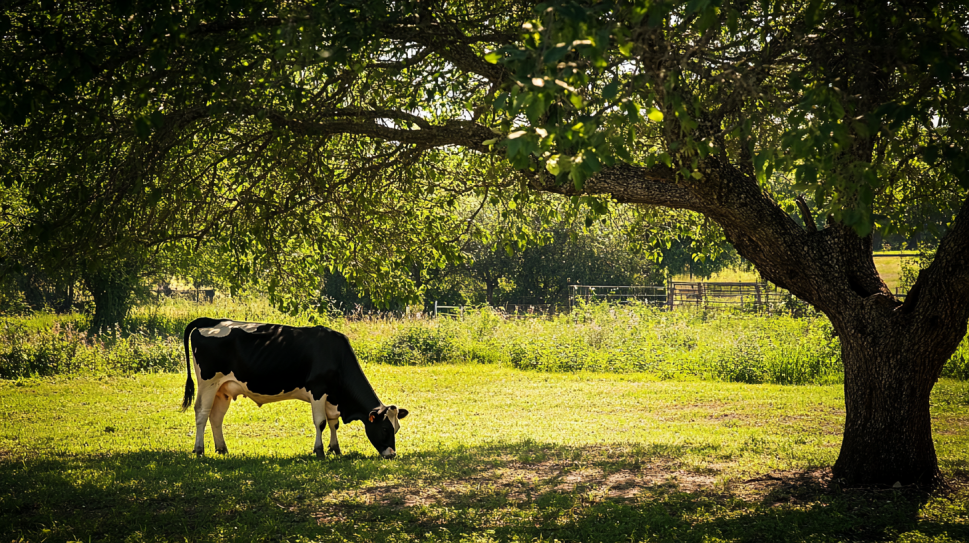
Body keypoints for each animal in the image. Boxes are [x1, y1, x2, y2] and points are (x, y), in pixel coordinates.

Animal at [182, 316, 408, 462]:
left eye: (396, 428)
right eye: (385, 429)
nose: (392, 454)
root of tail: (210, 321)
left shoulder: (332, 397)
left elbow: (333, 424)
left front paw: (335, 449)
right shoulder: (318, 390)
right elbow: (321, 422)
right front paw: (319, 451)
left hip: (223, 389)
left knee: (216, 417)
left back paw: (222, 449)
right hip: (208, 382)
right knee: (201, 413)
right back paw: (199, 450)